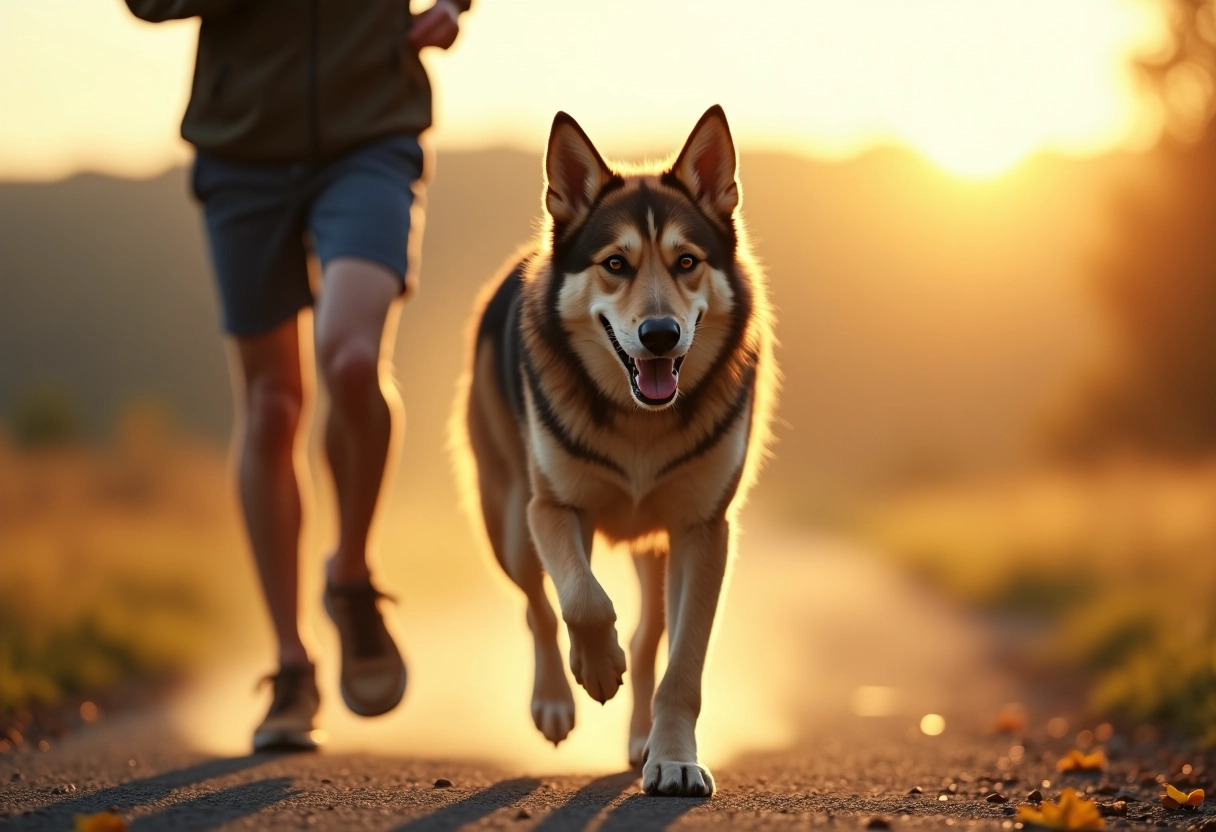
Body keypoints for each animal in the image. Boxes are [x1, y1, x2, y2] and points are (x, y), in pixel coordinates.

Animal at [452, 107, 773, 797]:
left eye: (687, 261)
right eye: (616, 264)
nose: (660, 335)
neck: (639, 424)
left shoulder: (703, 529)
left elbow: (683, 665)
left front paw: (673, 758)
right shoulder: (553, 510)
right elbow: (582, 600)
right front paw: (596, 669)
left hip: (655, 547)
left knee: (652, 631)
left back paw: (641, 736)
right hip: (509, 522)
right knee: (537, 605)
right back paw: (554, 701)